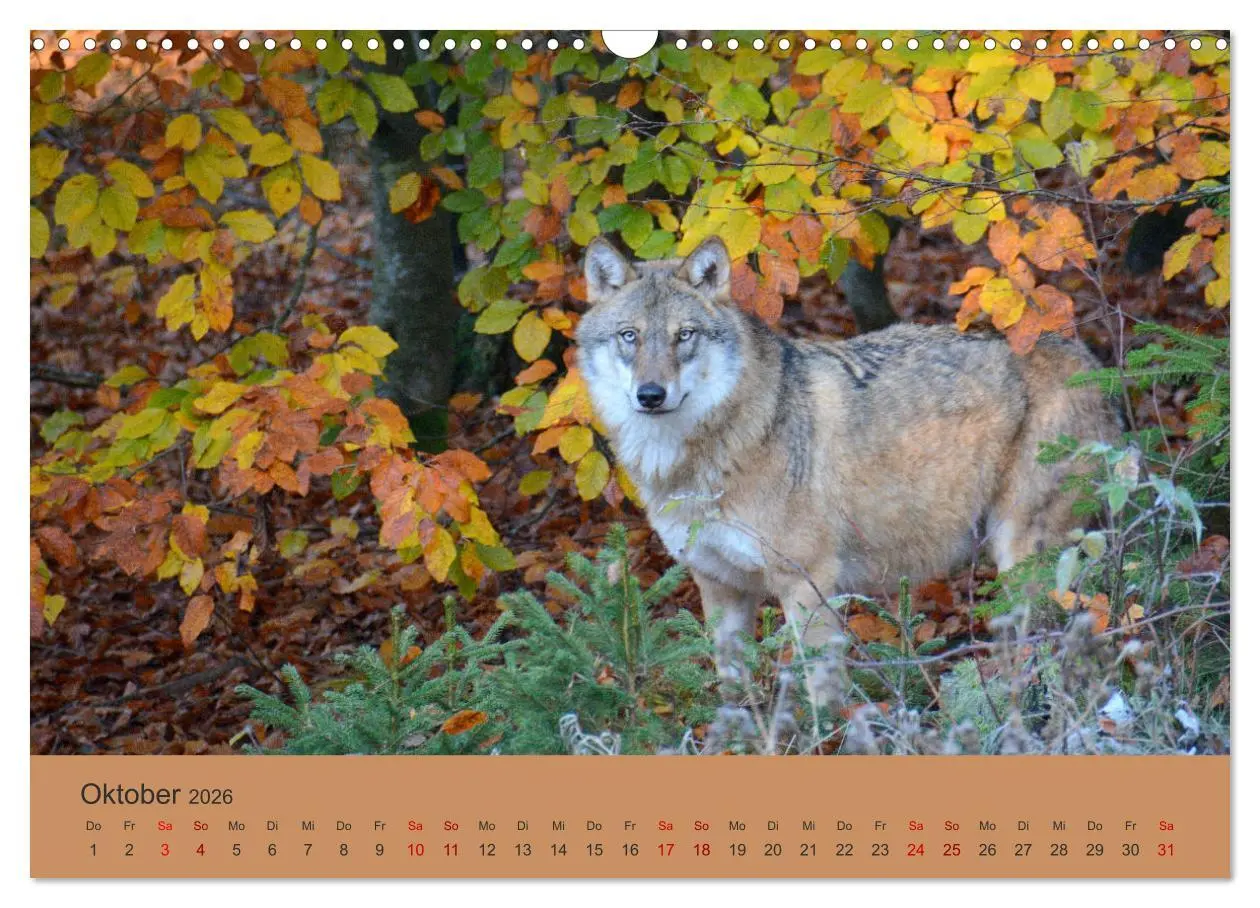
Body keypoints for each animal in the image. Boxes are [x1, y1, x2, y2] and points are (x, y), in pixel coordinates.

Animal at [576, 235, 1121, 680]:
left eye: (683, 335)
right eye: (629, 336)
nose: (650, 395)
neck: (698, 459)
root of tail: (1091, 361)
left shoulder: (807, 582)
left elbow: (820, 694)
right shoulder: (720, 586)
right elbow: (735, 695)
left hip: (1020, 554)